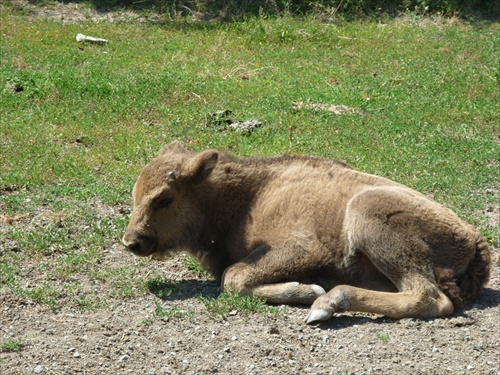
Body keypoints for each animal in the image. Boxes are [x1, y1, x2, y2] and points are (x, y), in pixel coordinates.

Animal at [123, 142, 490, 324]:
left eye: (165, 199)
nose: (132, 241)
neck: (251, 193)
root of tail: (472, 236)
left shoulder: (299, 250)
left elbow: (234, 276)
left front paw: (309, 290)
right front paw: (306, 288)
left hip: (372, 221)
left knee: (430, 298)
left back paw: (326, 304)